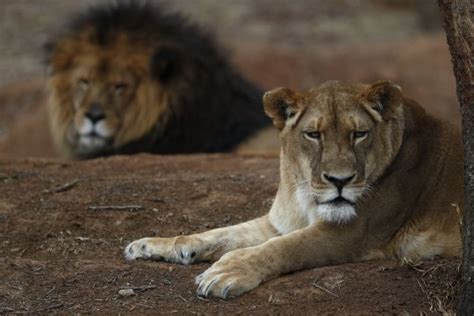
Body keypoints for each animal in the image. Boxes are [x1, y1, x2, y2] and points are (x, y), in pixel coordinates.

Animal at [123, 80, 462, 298]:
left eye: (359, 134)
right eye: (314, 134)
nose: (340, 180)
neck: (305, 195)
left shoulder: (351, 233)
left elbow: (283, 247)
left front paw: (228, 273)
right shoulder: (279, 222)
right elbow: (223, 233)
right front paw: (153, 245)